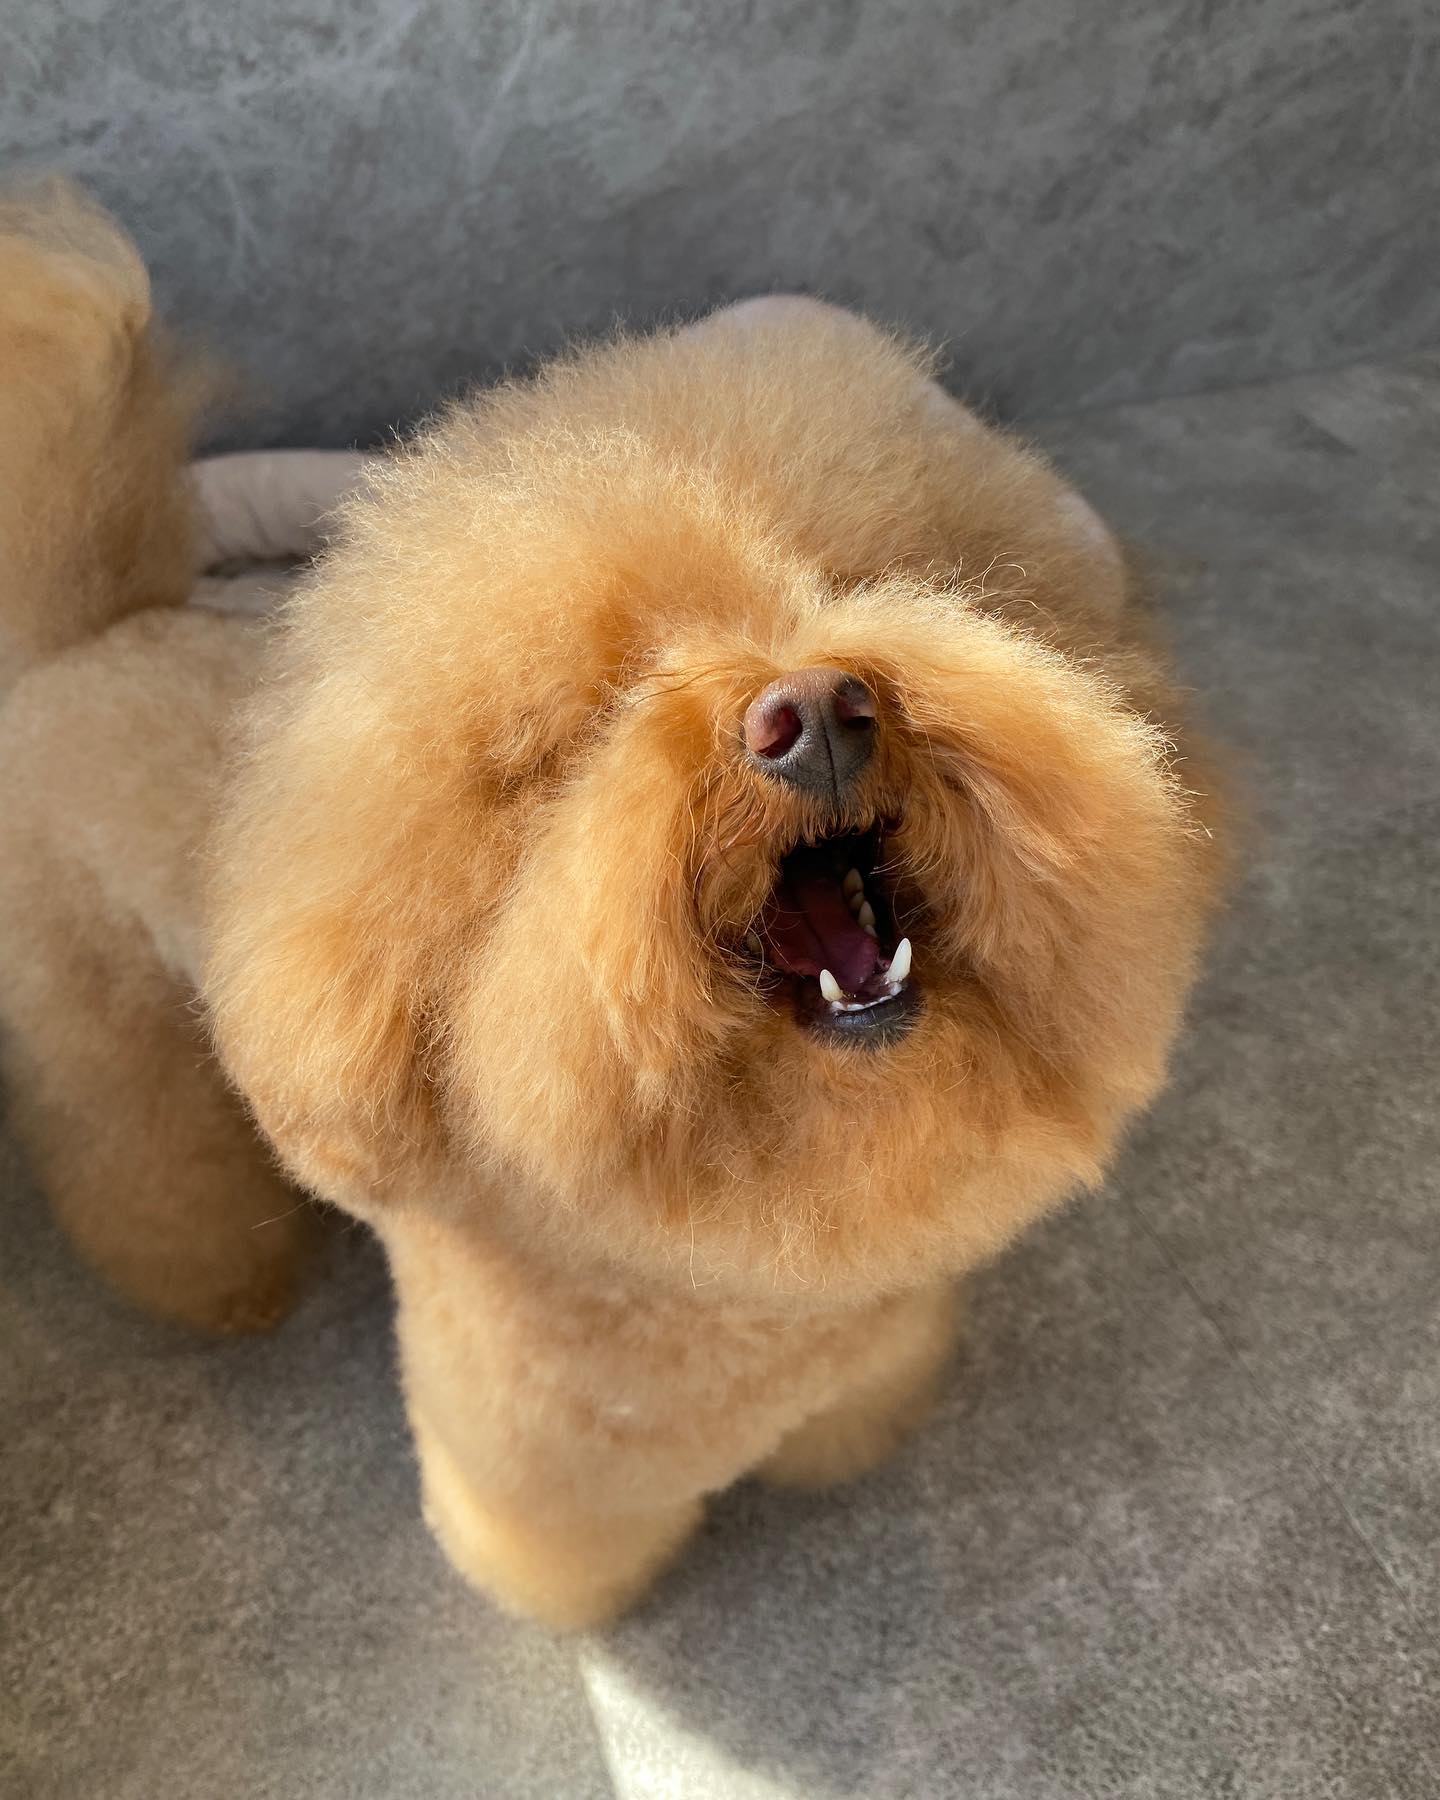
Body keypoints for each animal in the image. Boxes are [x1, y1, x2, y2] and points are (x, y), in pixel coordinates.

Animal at [0, 183, 1224, 1627]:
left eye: (853, 583)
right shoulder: (537, 1475)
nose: (814, 712)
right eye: (586, 723)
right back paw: (216, 1285)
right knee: (135, 1148)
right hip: (94, 1010)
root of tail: (86, 634)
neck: (719, 1263)